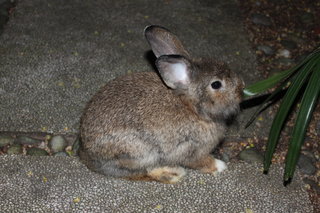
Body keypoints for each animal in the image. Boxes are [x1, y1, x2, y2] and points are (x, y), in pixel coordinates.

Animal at [79, 25, 244, 183]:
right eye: (216, 84)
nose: (241, 89)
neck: (192, 107)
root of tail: (86, 155)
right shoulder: (190, 148)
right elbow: (199, 161)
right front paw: (220, 166)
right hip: (139, 153)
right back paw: (172, 174)